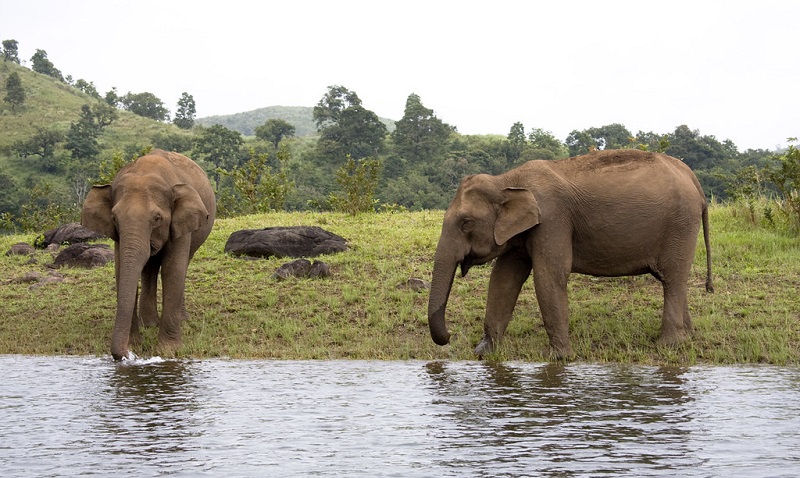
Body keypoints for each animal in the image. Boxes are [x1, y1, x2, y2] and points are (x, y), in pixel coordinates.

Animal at [81, 148, 216, 358]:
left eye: (157, 218)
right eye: (114, 218)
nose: (127, 355)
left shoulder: (180, 224)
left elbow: (173, 270)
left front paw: (168, 351)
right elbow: (122, 269)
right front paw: (135, 344)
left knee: (183, 264)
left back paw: (181, 319)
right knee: (149, 269)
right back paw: (150, 324)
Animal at [428, 149, 716, 358]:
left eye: (466, 223)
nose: (450, 336)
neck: (507, 180)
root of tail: (693, 178)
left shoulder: (552, 219)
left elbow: (549, 275)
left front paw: (558, 358)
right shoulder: (522, 232)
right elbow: (503, 278)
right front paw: (484, 353)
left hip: (680, 224)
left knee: (673, 278)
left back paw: (668, 345)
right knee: (672, 280)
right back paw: (687, 338)